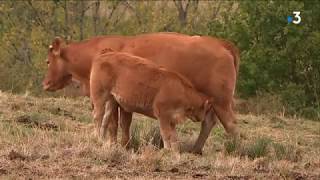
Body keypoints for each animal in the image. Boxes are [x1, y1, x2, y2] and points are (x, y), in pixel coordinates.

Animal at [43, 32, 240, 153]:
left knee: (230, 125)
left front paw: (117, 144)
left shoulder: (116, 101)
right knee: (208, 122)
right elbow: (121, 123)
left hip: (222, 103)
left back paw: (235, 150)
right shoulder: (120, 101)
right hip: (212, 104)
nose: (45, 84)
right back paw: (196, 150)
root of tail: (221, 44)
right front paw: (121, 144)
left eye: (48, 61)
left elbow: (115, 123)